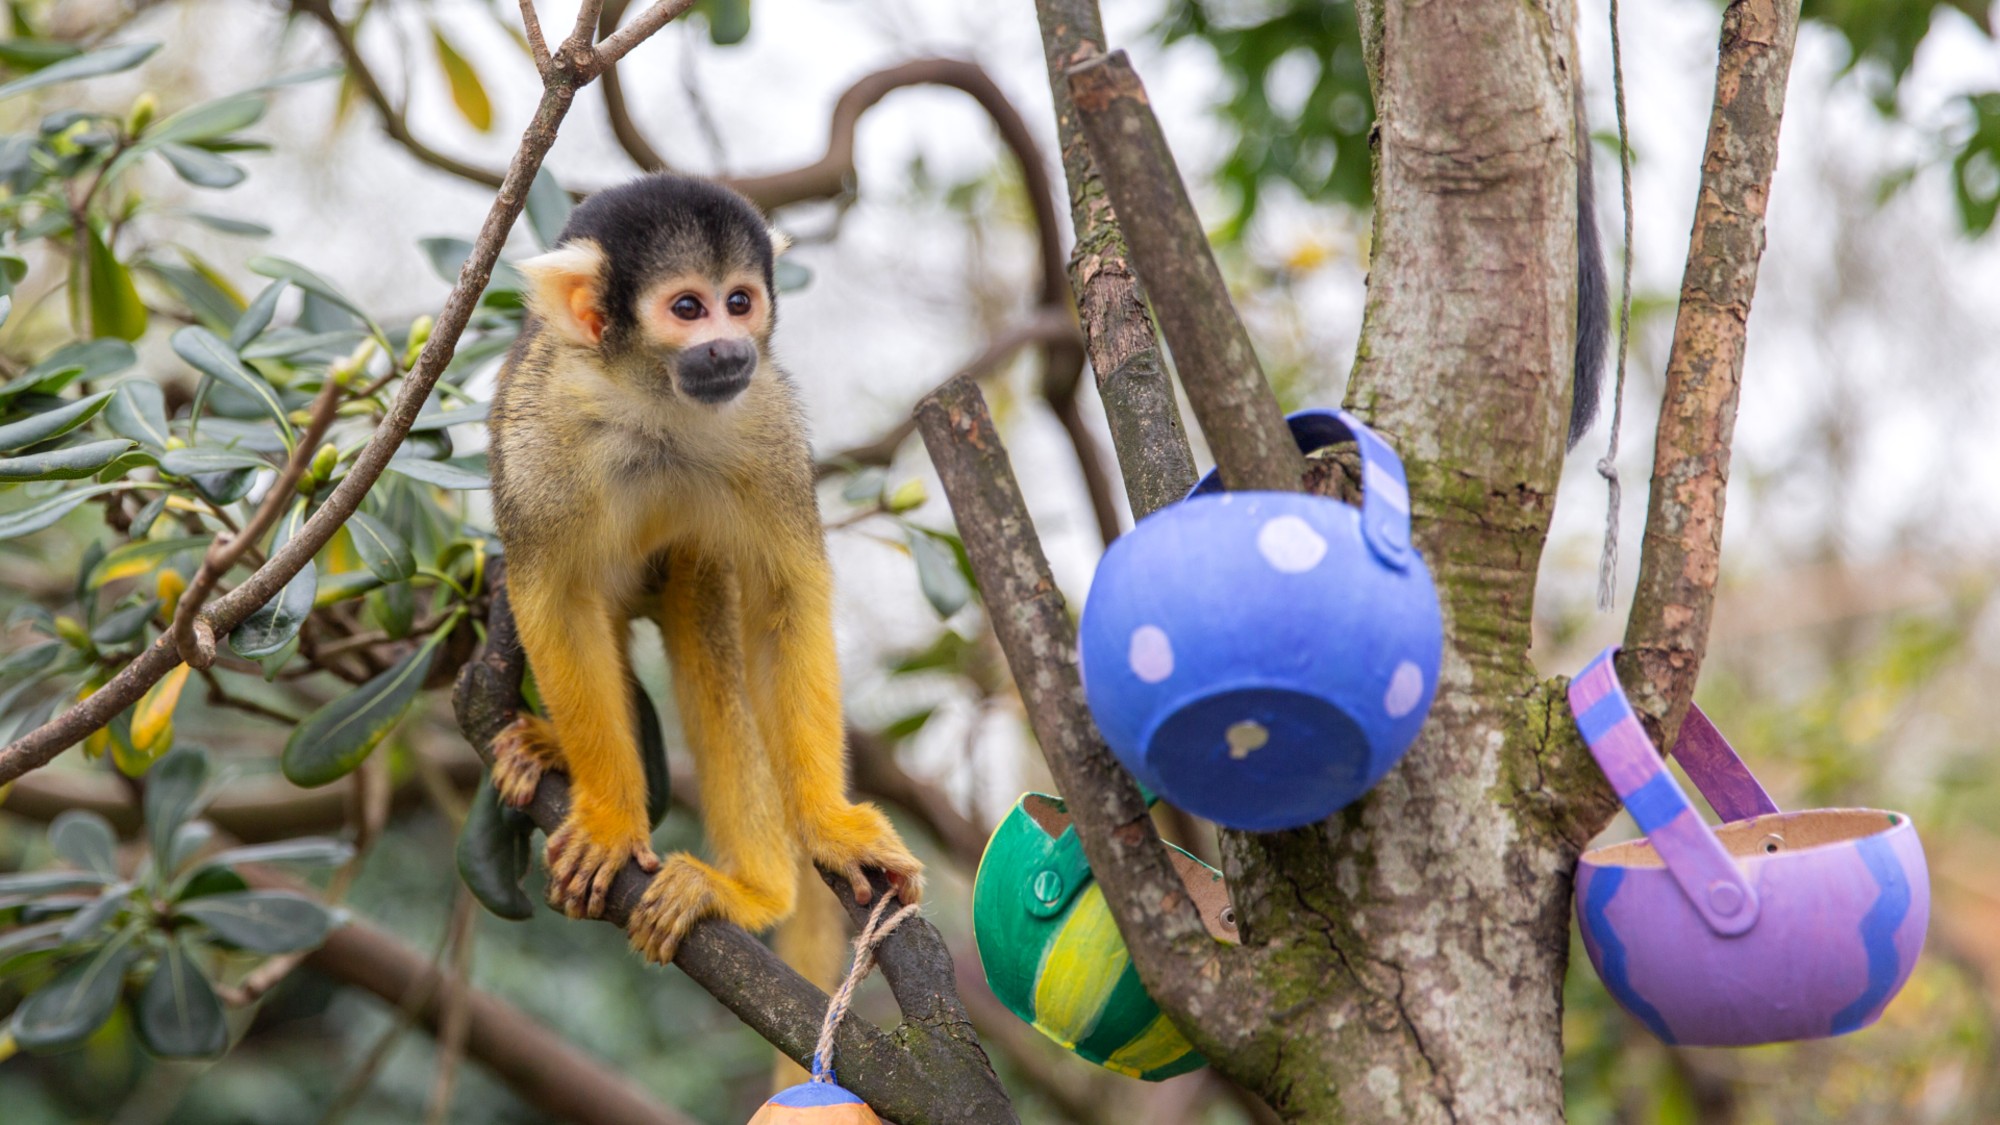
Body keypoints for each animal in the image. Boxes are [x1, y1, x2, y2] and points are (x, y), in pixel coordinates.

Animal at [484, 173, 924, 966]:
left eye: (740, 301)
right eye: (688, 308)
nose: (727, 347)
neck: (653, 407)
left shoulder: (768, 418)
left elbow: (784, 602)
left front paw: (829, 826)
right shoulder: (541, 436)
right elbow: (553, 599)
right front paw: (611, 821)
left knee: (700, 583)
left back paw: (752, 892)